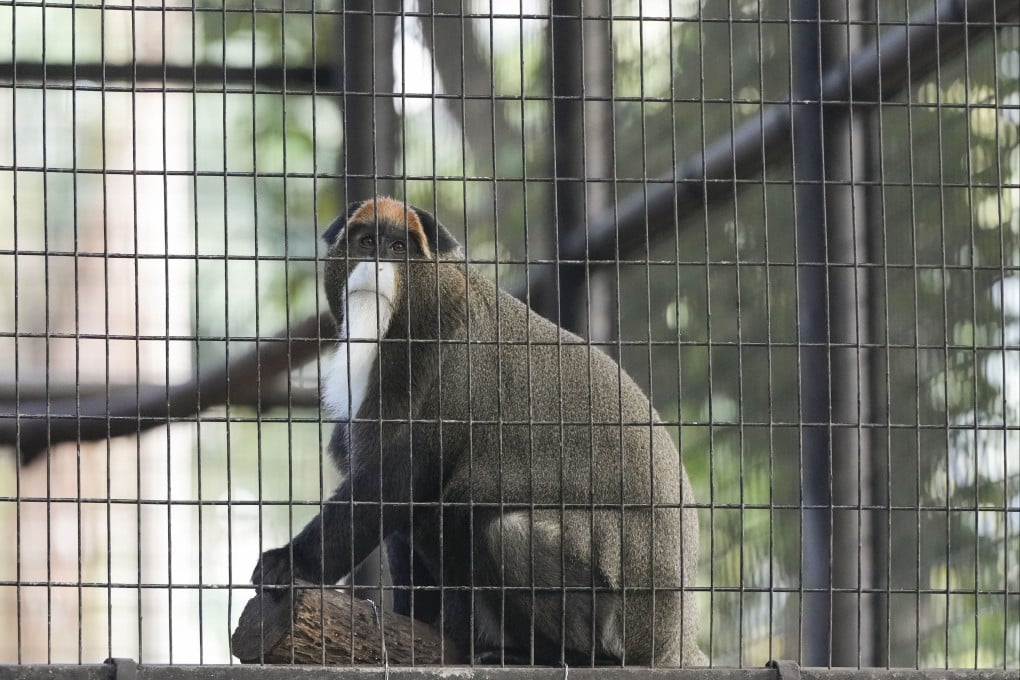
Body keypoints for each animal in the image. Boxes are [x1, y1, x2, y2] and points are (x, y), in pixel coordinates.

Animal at [251, 197, 703, 666]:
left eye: (398, 248)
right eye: (367, 242)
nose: (374, 263)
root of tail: (676, 640)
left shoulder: (441, 366)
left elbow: (395, 482)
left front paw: (290, 562)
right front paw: (409, 618)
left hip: (615, 619)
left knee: (500, 530)